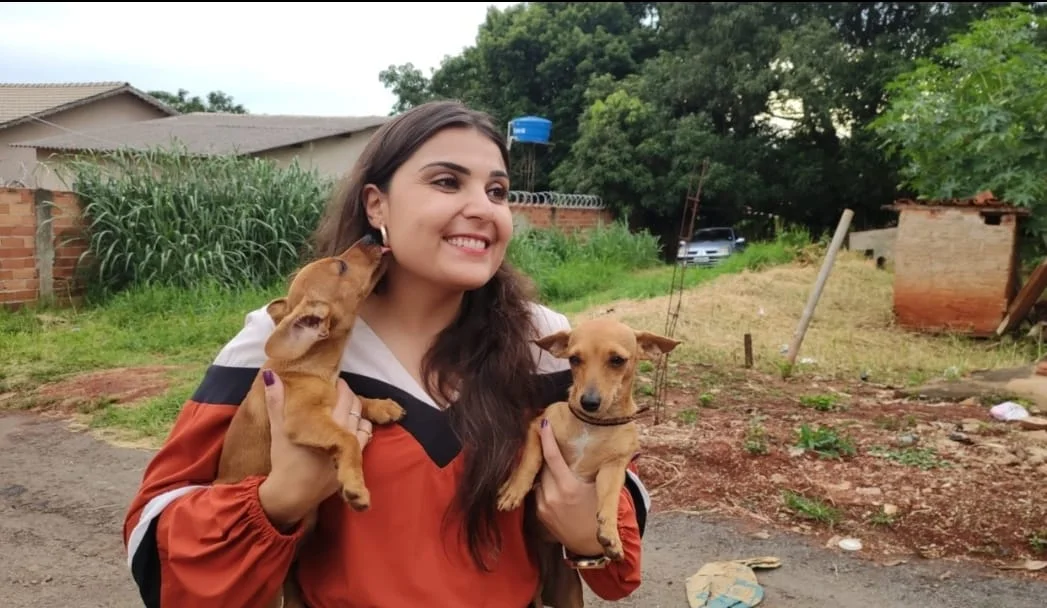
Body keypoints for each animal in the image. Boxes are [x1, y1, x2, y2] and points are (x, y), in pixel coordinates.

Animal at [214, 233, 406, 606]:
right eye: (341, 266)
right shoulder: (302, 420)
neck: (308, 364)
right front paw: (355, 485)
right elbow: (347, 438)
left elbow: (356, 396)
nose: (370, 235)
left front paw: (380, 406)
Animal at [496, 316, 682, 606]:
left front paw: (611, 535)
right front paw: (514, 490)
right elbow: (529, 461)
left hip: (569, 595)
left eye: (617, 360)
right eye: (574, 359)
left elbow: (609, 499)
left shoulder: (613, 468)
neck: (593, 425)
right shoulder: (538, 426)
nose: (589, 402)